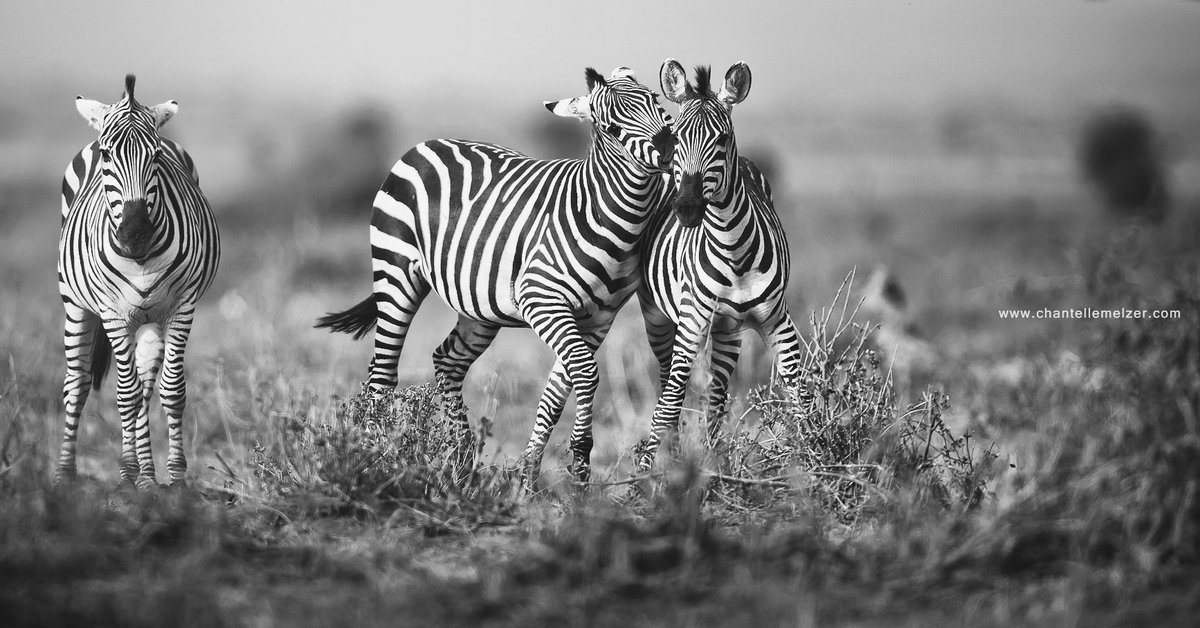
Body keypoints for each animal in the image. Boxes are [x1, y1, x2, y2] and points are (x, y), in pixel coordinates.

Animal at [57, 75, 220, 488]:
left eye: (156, 157)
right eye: (107, 156)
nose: (136, 236)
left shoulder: (182, 307)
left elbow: (171, 389)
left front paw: (174, 476)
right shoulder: (112, 313)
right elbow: (124, 394)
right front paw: (140, 477)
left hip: (148, 319)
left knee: (144, 385)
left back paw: (138, 469)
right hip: (76, 305)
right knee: (78, 384)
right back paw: (67, 474)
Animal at [316, 67, 674, 484]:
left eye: (656, 101)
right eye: (610, 126)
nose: (670, 148)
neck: (611, 218)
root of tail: (427, 144)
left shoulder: (599, 317)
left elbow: (557, 392)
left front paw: (530, 478)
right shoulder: (542, 301)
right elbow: (585, 372)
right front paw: (581, 461)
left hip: (477, 303)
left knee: (447, 361)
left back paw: (462, 461)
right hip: (396, 271)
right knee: (383, 375)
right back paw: (373, 458)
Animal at [635, 60, 803, 472]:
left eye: (722, 140)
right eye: (676, 139)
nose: (687, 208)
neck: (733, 250)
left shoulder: (778, 320)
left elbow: (799, 391)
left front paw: (819, 452)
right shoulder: (691, 323)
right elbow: (668, 404)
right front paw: (642, 476)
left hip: (729, 331)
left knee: (717, 397)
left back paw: (715, 458)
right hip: (659, 318)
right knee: (669, 386)